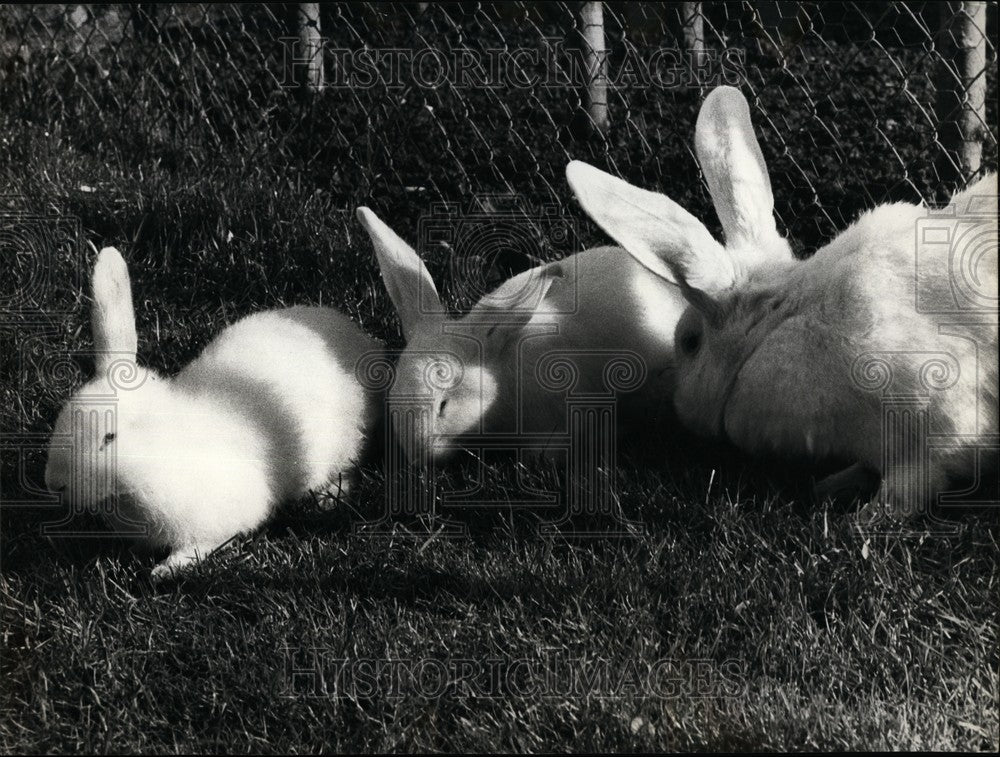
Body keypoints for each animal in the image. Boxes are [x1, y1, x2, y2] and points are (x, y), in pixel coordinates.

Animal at [566, 85, 999, 516]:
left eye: (690, 342)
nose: (681, 410)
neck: (779, 320)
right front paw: (830, 486)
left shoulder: (935, 430)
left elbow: (908, 489)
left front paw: (864, 515)